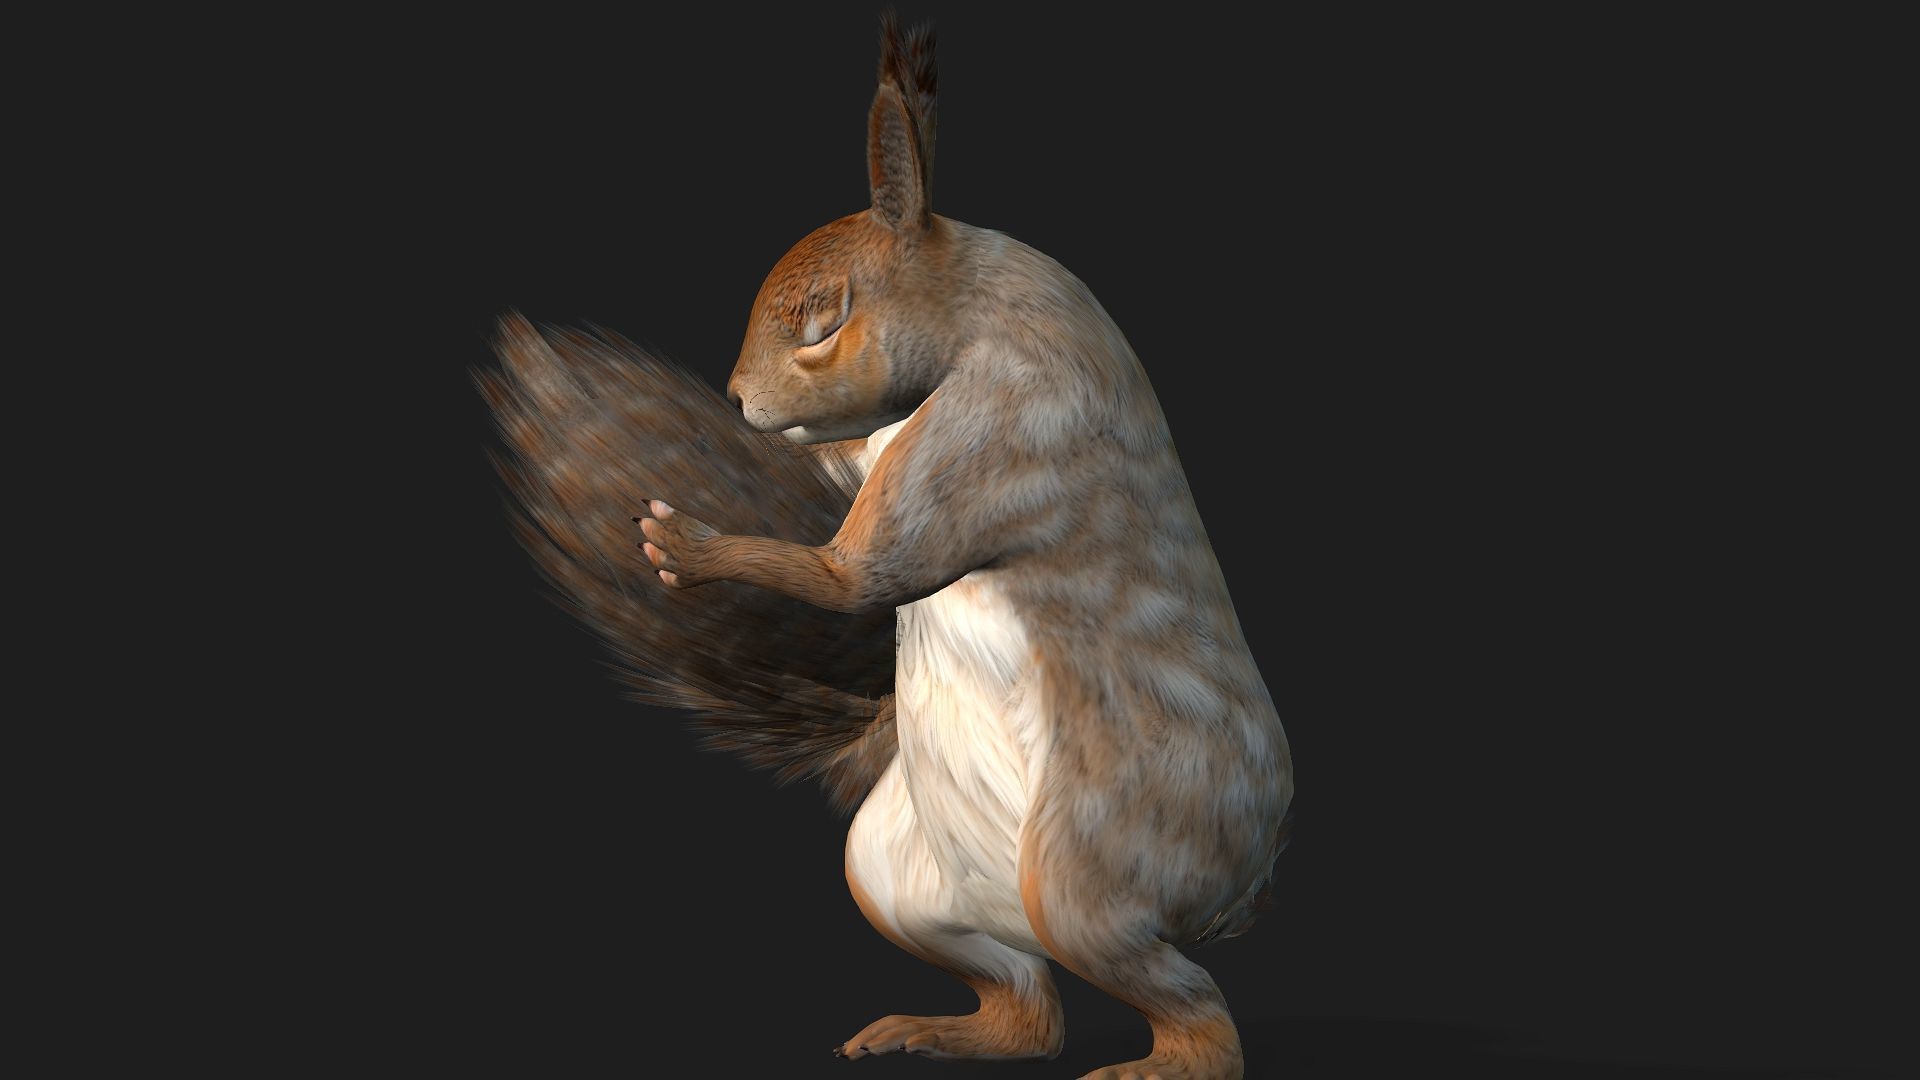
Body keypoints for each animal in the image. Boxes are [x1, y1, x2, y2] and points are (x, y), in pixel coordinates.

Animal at [483, 15, 1292, 1080]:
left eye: (824, 318)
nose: (735, 399)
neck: (980, 304)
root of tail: (1242, 894)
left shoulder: (1005, 422)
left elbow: (855, 575)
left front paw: (688, 546)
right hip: (895, 877)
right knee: (1027, 1009)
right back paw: (933, 1029)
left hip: (1096, 860)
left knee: (1194, 1013)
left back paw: (1154, 1063)